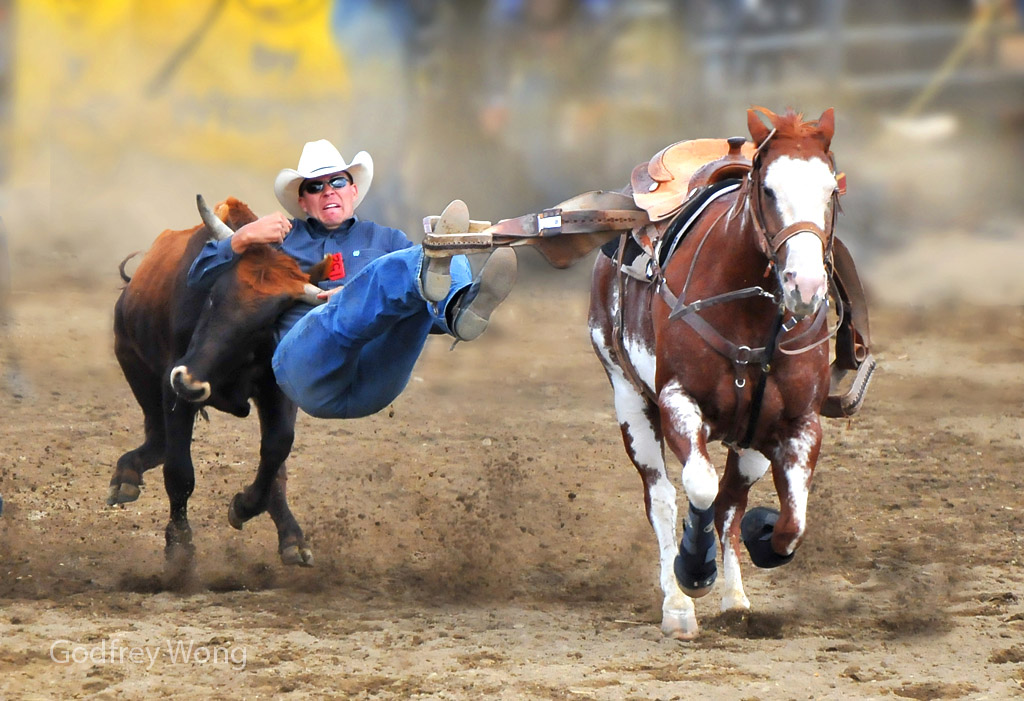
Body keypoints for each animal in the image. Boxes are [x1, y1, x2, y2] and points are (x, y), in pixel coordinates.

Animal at [589, 106, 843, 638]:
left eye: (832, 190)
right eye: (767, 189)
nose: (807, 286)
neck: (748, 310)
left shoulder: (798, 423)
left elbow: (791, 524)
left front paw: (762, 538)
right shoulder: (678, 402)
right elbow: (698, 487)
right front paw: (693, 568)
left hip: (751, 438)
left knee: (729, 505)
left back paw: (736, 599)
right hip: (629, 399)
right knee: (663, 498)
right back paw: (678, 605)